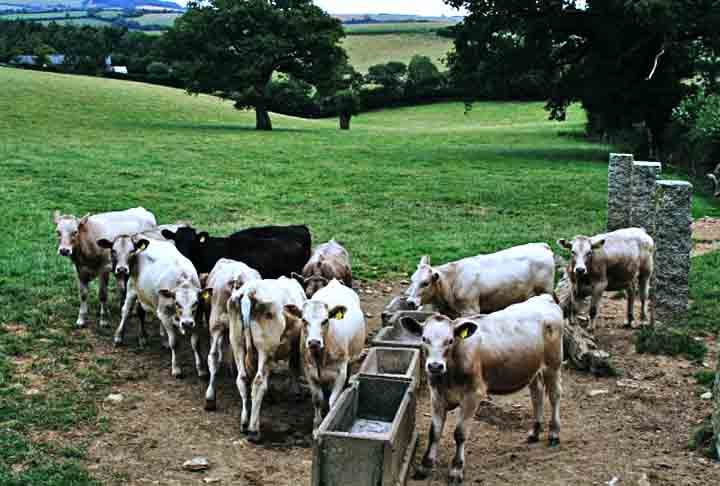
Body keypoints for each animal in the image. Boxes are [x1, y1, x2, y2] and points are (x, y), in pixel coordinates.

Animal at [115, 239, 205, 380]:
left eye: (195, 303)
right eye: (177, 303)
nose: (186, 323)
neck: (183, 281)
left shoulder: (197, 319)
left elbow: (196, 344)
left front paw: (201, 370)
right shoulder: (166, 316)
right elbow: (175, 343)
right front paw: (176, 369)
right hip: (132, 289)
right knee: (126, 311)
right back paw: (119, 337)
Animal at [229, 278, 306, 440]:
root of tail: (249, 291)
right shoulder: (296, 345)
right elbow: (294, 367)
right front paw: (297, 392)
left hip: (237, 343)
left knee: (242, 379)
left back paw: (244, 423)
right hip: (265, 349)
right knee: (258, 382)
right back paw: (254, 430)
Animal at [284, 280, 366, 430]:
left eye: (325, 320)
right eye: (303, 320)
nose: (314, 342)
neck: (320, 356)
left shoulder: (340, 372)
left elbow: (333, 401)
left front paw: (328, 420)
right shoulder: (309, 372)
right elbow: (317, 399)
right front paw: (317, 425)